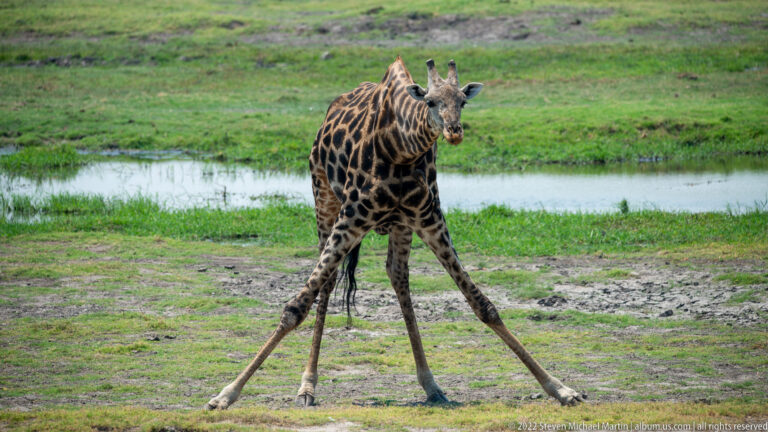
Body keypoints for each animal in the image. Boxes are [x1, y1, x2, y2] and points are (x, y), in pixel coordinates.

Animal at [205, 57, 585, 409]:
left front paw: (561, 388)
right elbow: (294, 307)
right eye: (430, 101)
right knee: (327, 283)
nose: (454, 131)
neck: (400, 148)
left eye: (463, 101)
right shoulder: (352, 216)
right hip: (324, 201)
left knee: (397, 274)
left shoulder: (428, 218)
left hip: (399, 226)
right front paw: (226, 394)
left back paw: (431, 384)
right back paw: (307, 386)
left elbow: (483, 305)